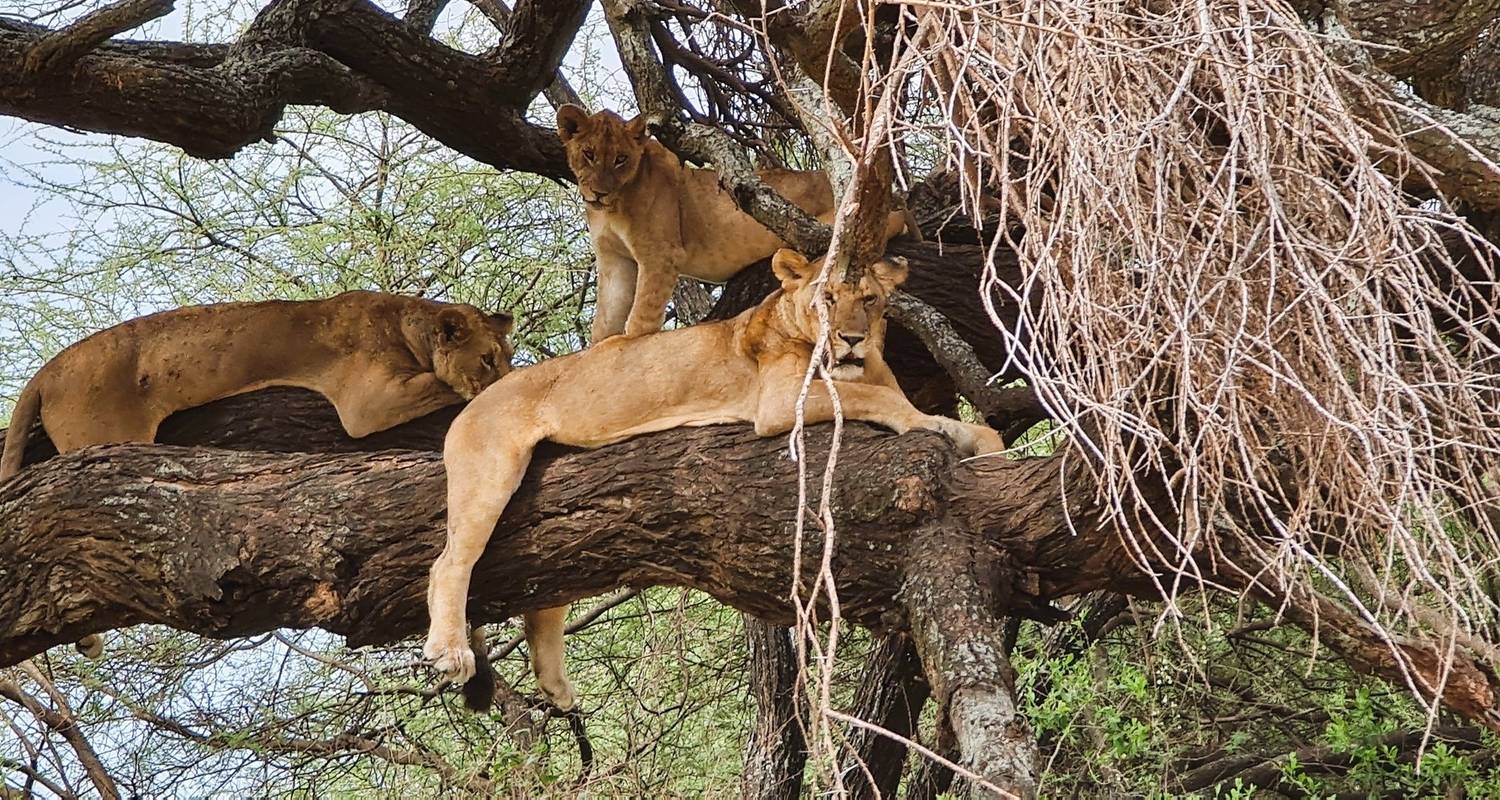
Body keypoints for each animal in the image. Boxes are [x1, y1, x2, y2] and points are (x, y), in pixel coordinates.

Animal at [1, 289, 516, 657]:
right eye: (488, 358)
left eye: (504, 355)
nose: (503, 374)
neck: (406, 323)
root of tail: (46, 371)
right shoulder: (367, 403)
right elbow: (443, 386)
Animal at [429, 246, 1002, 708]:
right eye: (826, 299)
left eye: (871, 300)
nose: (853, 340)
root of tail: (474, 401)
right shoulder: (780, 402)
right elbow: (881, 400)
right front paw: (928, 423)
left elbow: (971, 427)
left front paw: (984, 449)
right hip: (490, 470)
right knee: (450, 562)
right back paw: (451, 651)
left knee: (545, 583)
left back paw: (554, 684)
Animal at [561, 104, 918, 342]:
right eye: (589, 154)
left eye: (621, 159)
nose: (599, 192)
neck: (611, 209)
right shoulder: (614, 260)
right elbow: (604, 323)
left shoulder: (660, 255)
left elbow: (639, 321)